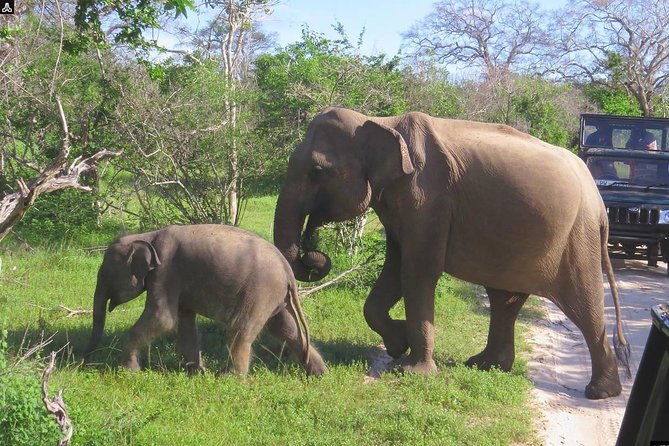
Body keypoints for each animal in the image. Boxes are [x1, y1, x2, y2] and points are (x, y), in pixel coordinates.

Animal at [83, 224, 327, 376]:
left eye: (106, 274)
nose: (84, 361)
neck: (147, 236)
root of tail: (288, 271)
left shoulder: (165, 273)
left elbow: (163, 318)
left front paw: (129, 371)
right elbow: (183, 322)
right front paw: (196, 372)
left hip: (260, 291)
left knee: (242, 328)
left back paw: (230, 378)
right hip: (274, 296)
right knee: (285, 329)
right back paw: (319, 373)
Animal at [273, 107, 629, 399]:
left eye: (317, 171)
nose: (314, 254)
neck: (380, 122)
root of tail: (599, 202)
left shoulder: (427, 197)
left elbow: (417, 271)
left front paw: (414, 372)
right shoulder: (404, 202)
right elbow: (395, 269)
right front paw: (397, 344)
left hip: (577, 238)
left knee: (583, 306)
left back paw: (600, 393)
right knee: (505, 300)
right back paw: (485, 365)